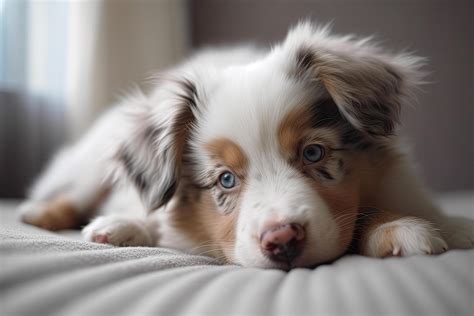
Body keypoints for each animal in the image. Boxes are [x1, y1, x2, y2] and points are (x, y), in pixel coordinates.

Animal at [19, 22, 474, 270]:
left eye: (313, 153)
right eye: (225, 179)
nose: (282, 241)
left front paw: (418, 227)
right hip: (89, 169)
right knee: (79, 197)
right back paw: (55, 217)